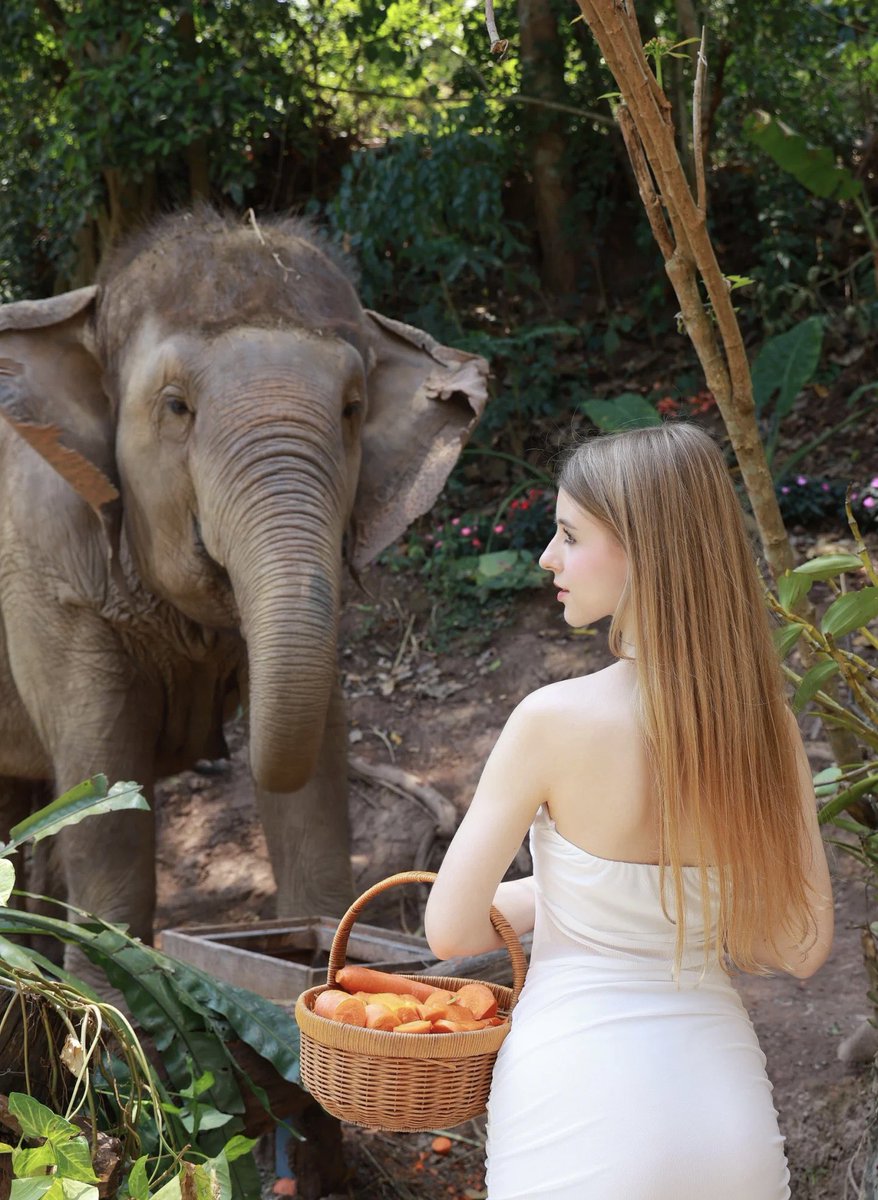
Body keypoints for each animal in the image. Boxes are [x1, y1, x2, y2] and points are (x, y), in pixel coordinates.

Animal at [0, 208, 488, 973]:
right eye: (176, 406)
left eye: (352, 409)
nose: (218, 747)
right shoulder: (52, 571)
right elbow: (102, 786)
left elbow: (317, 762)